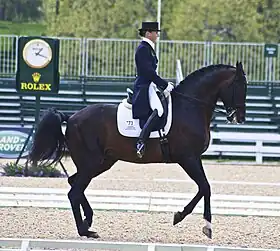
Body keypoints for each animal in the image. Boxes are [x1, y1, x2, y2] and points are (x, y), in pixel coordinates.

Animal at [28, 60, 247, 239]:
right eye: (239, 86)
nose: (240, 118)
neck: (190, 106)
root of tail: (72, 117)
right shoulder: (188, 158)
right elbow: (205, 187)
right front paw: (198, 223)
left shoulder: (193, 158)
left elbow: (204, 188)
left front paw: (187, 218)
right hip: (91, 163)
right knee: (74, 192)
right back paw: (85, 230)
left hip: (101, 162)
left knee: (74, 184)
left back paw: (88, 221)